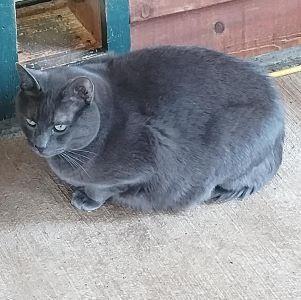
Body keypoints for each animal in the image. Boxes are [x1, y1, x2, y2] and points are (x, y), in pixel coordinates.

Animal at [15, 46, 284, 211]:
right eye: (31, 122)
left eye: (59, 126)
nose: (39, 145)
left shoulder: (142, 165)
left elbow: (102, 187)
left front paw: (87, 198)